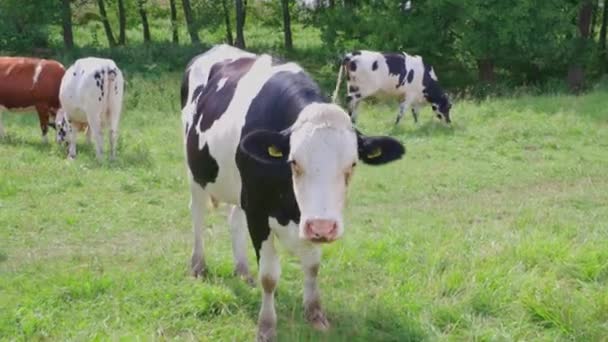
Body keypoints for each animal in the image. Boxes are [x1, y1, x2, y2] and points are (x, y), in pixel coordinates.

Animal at [183, 44, 406, 340]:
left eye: (352, 165)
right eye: (294, 162)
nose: (323, 226)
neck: (290, 207)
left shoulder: (306, 218)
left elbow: (312, 266)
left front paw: (315, 314)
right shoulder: (258, 211)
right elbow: (269, 276)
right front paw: (266, 326)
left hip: (238, 187)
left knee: (233, 220)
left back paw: (242, 270)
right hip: (196, 172)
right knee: (197, 214)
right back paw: (198, 265)